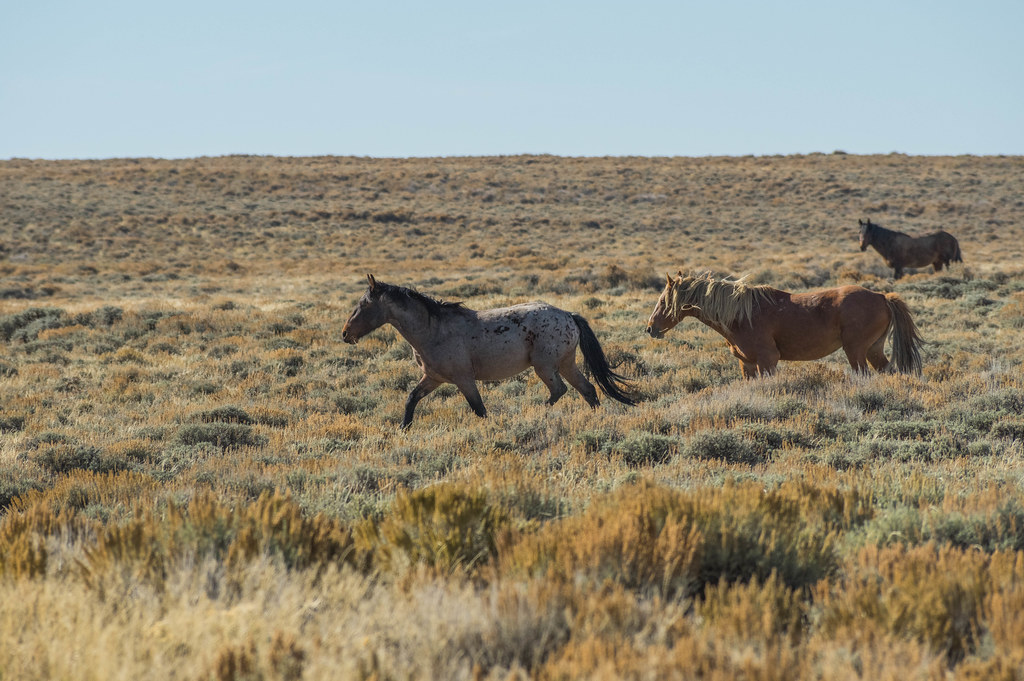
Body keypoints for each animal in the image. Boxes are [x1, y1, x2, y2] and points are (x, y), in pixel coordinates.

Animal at [342, 275, 636, 427]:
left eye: (364, 305)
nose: (345, 333)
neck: (433, 330)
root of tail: (568, 315)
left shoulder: (463, 379)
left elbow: (479, 409)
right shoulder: (433, 378)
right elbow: (411, 399)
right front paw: (403, 428)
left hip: (545, 367)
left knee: (559, 390)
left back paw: (536, 413)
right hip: (566, 363)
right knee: (588, 389)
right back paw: (596, 419)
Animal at [645, 271, 924, 378]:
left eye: (663, 301)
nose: (650, 328)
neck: (741, 315)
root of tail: (882, 296)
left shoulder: (768, 360)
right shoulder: (747, 363)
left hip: (855, 351)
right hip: (873, 350)